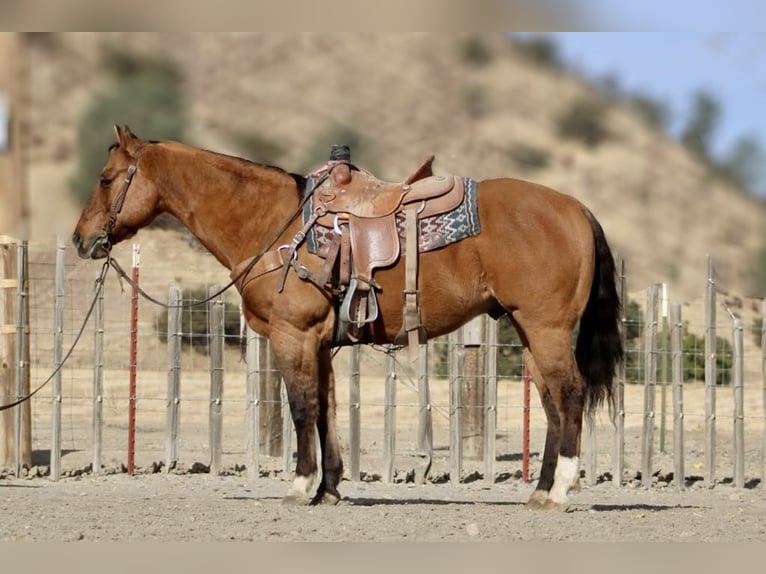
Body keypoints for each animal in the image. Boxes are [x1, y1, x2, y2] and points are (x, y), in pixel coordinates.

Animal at [72, 126, 624, 512]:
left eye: (105, 179)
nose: (81, 239)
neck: (274, 226)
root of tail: (576, 209)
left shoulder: (293, 337)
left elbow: (301, 408)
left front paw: (300, 486)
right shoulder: (319, 345)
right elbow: (325, 411)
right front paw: (329, 488)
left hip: (546, 329)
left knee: (569, 395)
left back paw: (560, 491)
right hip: (530, 330)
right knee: (552, 403)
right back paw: (542, 490)